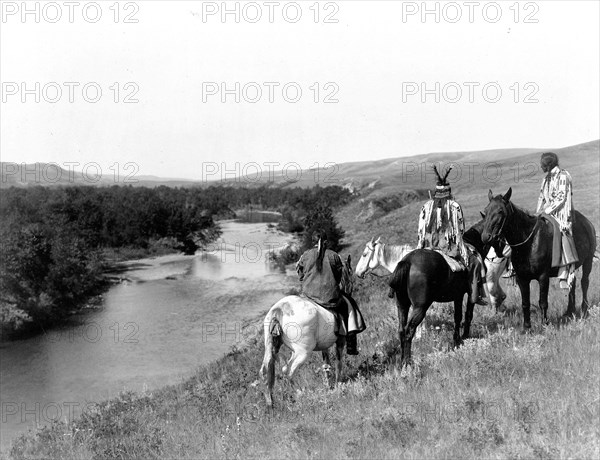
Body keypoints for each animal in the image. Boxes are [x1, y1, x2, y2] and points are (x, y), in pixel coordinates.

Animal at [478, 187, 596, 328]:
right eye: (486, 211)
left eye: (500, 211)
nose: (486, 237)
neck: (529, 243)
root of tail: (587, 222)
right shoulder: (522, 279)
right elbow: (525, 303)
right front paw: (527, 326)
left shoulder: (543, 277)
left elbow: (543, 302)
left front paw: (545, 324)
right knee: (572, 284)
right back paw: (569, 311)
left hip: (588, 261)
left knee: (584, 282)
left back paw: (584, 308)